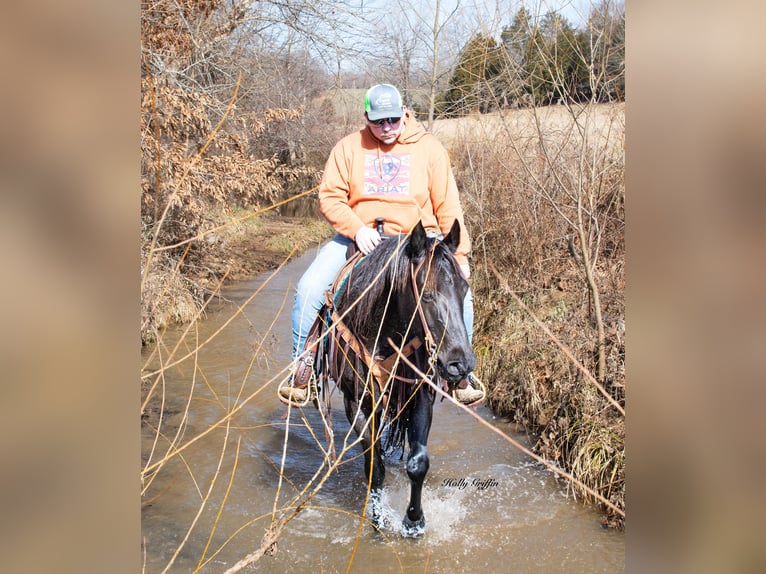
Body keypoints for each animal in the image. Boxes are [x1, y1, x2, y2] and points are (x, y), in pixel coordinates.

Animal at [316, 218, 476, 536]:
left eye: (464, 289)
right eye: (426, 294)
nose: (460, 365)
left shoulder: (420, 394)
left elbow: (418, 463)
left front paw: (414, 521)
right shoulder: (357, 403)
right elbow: (374, 467)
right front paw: (378, 521)